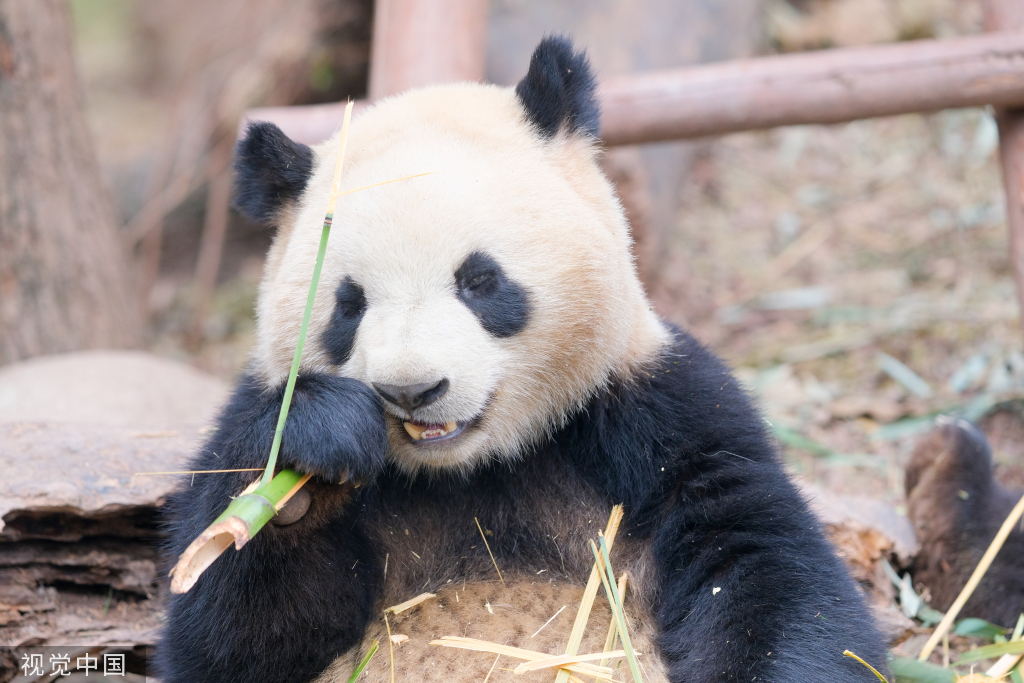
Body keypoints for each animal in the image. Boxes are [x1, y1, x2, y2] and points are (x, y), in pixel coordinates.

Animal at [159, 37, 888, 683]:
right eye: (348, 304)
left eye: (480, 280)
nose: (412, 390)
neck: (469, 470)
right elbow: (231, 640)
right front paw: (313, 448)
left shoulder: (660, 412)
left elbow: (769, 577)